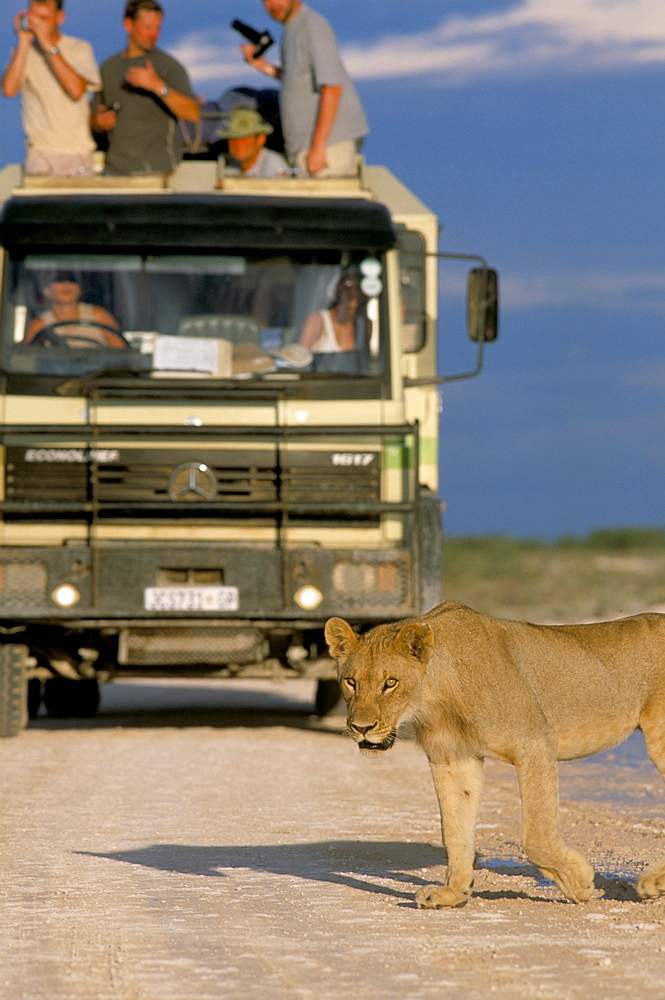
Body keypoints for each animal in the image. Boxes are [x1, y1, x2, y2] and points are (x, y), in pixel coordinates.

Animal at [322, 600, 664, 908]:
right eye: (351, 681)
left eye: (390, 683)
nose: (361, 728)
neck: (436, 695)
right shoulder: (453, 757)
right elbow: (455, 829)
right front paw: (453, 893)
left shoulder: (534, 743)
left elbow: (536, 835)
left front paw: (578, 882)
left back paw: (653, 882)